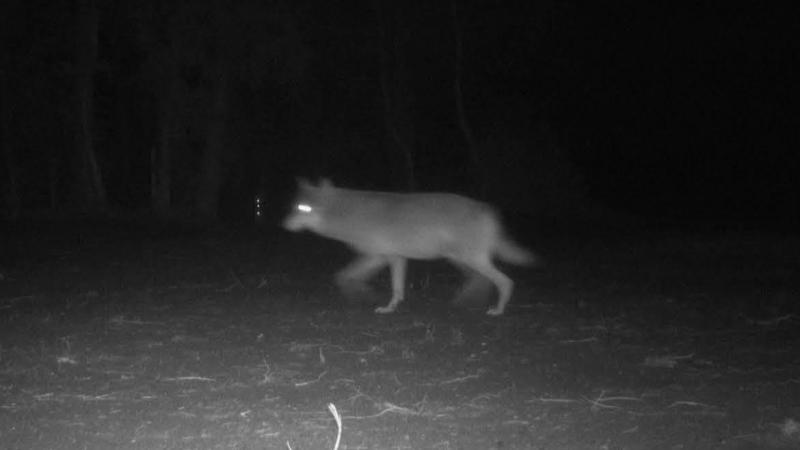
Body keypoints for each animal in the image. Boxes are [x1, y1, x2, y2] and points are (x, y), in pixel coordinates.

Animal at [283, 178, 535, 316]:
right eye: (295, 207)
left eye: (303, 208)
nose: (284, 224)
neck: (346, 214)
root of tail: (486, 208)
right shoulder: (396, 258)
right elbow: (396, 289)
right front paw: (389, 308)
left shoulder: (378, 257)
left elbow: (344, 276)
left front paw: (360, 296)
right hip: (460, 259)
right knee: (480, 280)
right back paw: (465, 303)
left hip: (470, 259)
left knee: (504, 281)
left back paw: (496, 310)